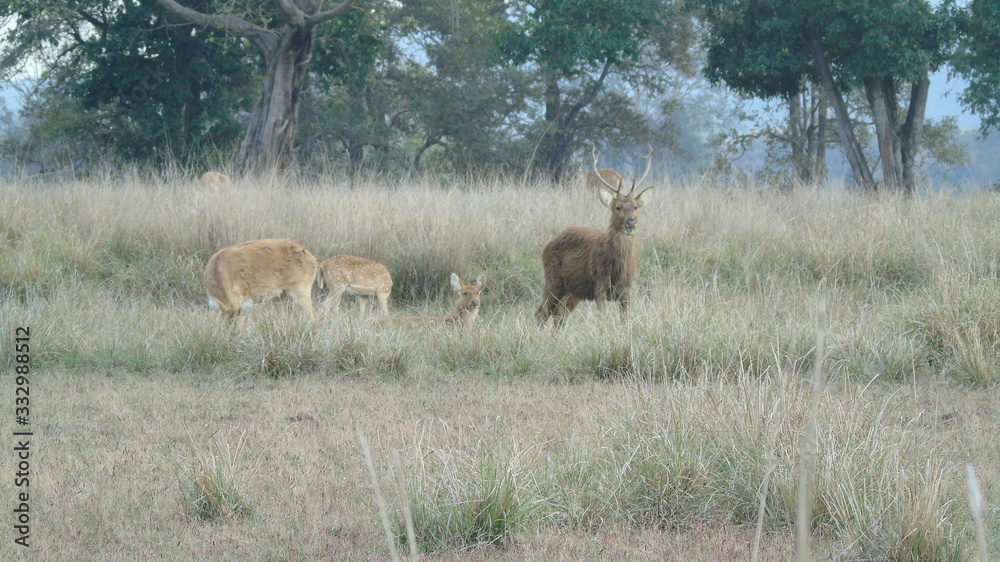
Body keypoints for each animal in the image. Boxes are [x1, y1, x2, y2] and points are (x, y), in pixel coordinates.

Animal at [540, 148, 656, 328]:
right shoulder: (599, 286)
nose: (631, 223)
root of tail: (546, 246)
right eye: (617, 207)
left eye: (636, 207)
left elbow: (625, 321)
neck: (617, 270)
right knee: (542, 312)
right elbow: (602, 319)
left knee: (559, 315)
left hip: (574, 291)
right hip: (553, 279)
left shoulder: (627, 290)